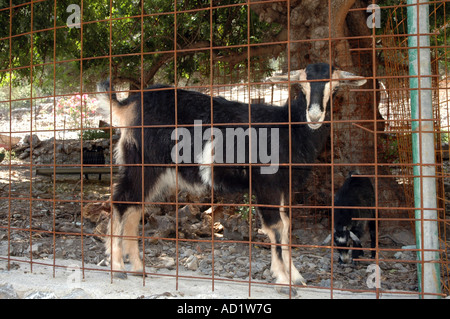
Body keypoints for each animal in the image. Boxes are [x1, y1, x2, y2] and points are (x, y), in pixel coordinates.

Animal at [97, 63, 366, 296]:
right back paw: (118, 268)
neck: (288, 129)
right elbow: (276, 227)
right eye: (302, 85)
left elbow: (287, 226)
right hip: (142, 164)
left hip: (154, 172)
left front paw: (295, 277)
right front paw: (284, 282)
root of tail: (128, 105)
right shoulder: (266, 184)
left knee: (134, 208)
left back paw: (138, 268)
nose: (315, 114)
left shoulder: (285, 188)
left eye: (334, 85)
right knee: (120, 202)